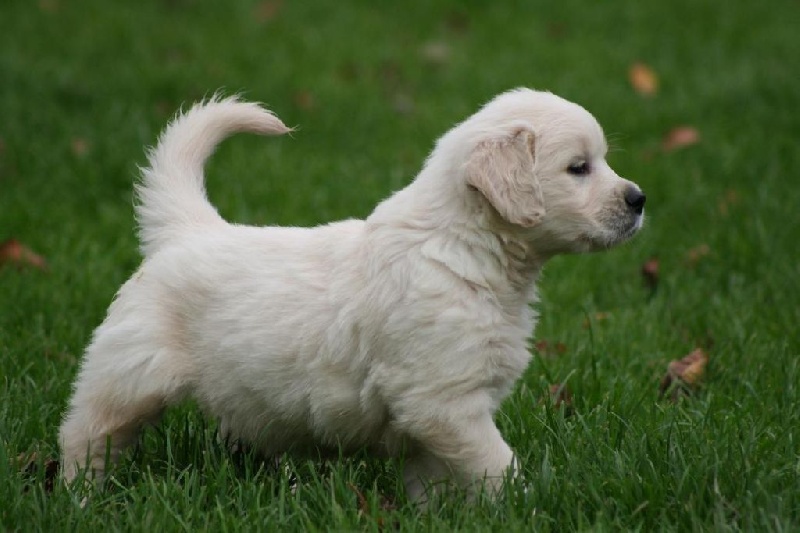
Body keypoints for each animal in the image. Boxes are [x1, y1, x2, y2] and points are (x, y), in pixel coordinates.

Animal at [59, 87, 644, 498]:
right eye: (578, 168)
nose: (639, 199)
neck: (462, 246)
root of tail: (188, 229)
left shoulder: (433, 418)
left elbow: (435, 481)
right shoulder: (444, 402)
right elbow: (498, 466)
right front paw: (529, 502)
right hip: (128, 373)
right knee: (86, 434)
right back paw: (81, 498)